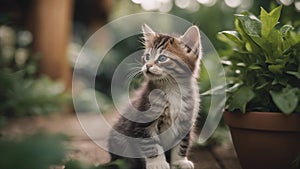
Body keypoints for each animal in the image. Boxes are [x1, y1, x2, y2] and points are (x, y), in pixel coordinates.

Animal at [108, 23, 202, 169]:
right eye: (147, 57)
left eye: (162, 58)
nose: (147, 65)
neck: (172, 89)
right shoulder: (144, 122)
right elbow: (151, 145)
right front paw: (158, 163)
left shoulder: (186, 120)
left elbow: (182, 144)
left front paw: (180, 161)